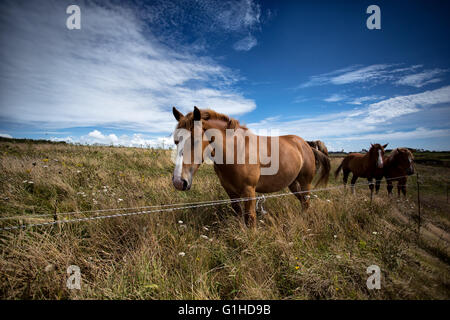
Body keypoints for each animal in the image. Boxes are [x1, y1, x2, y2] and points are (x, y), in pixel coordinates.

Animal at [170, 106, 330, 226]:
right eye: (176, 141)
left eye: (196, 140)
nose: (179, 182)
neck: (237, 150)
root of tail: (306, 144)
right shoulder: (231, 192)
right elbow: (239, 213)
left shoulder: (249, 191)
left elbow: (250, 218)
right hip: (292, 183)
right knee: (303, 201)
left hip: (305, 182)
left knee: (306, 202)